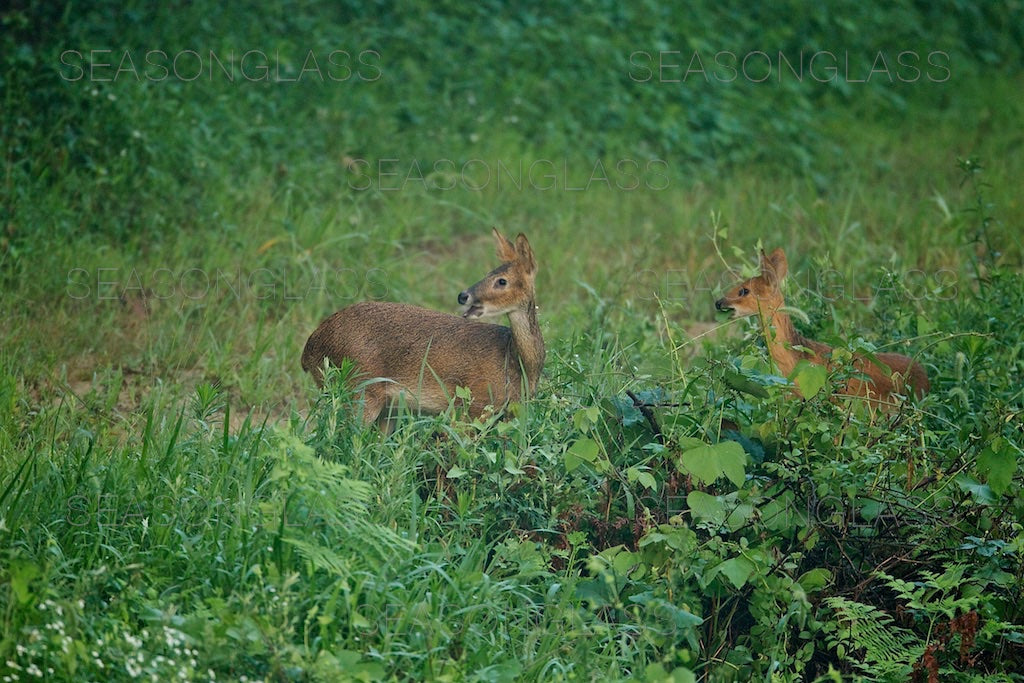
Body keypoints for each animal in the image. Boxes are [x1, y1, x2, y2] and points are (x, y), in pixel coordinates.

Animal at [301, 228, 548, 428]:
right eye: (487, 274)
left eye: (501, 280)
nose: (463, 295)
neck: (516, 362)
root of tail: (309, 349)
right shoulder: (474, 405)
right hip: (359, 389)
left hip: (384, 407)